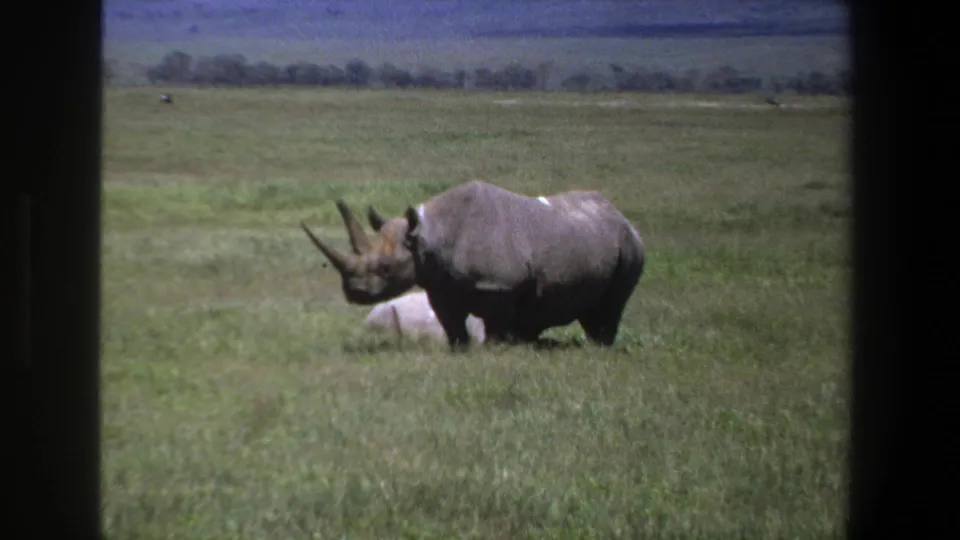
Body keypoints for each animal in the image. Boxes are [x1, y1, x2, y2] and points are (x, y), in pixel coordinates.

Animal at [301, 181, 645, 348]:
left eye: (386, 268)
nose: (354, 293)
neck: (428, 236)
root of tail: (621, 217)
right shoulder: (439, 285)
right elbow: (452, 324)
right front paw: (460, 349)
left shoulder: (501, 285)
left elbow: (497, 324)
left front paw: (496, 349)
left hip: (630, 247)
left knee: (611, 306)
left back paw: (599, 347)